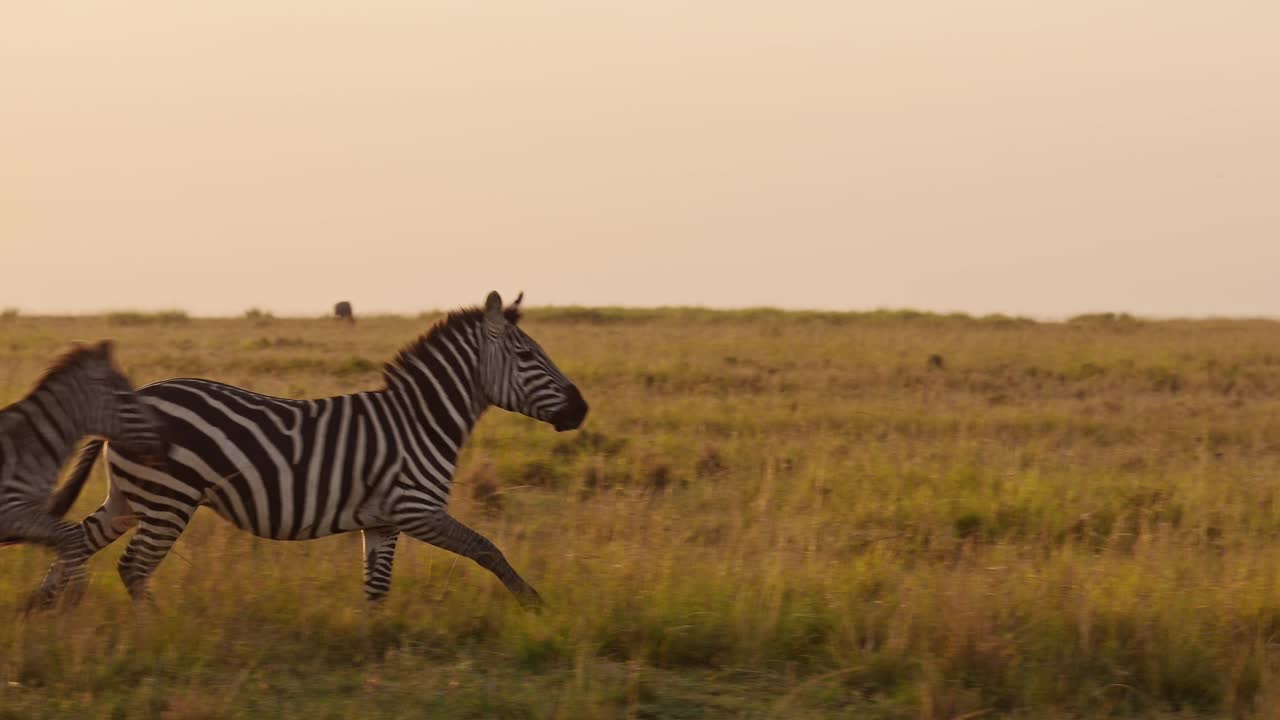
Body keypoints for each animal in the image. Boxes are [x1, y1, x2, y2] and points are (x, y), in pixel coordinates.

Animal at [0, 341, 168, 609]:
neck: (31, 444)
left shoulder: (30, 514)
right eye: (126, 398)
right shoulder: (12, 509)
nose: (167, 442)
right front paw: (74, 595)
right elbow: (72, 537)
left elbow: (71, 540)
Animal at [36, 292, 587, 609]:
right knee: (132, 569)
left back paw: (37, 615)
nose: (581, 409)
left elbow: (376, 590)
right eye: (526, 354)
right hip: (167, 500)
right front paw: (534, 604)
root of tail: (126, 403)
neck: (420, 420)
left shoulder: (383, 521)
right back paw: (155, 628)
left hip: (130, 498)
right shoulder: (416, 509)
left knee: (77, 542)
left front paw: (375, 653)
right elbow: (486, 548)